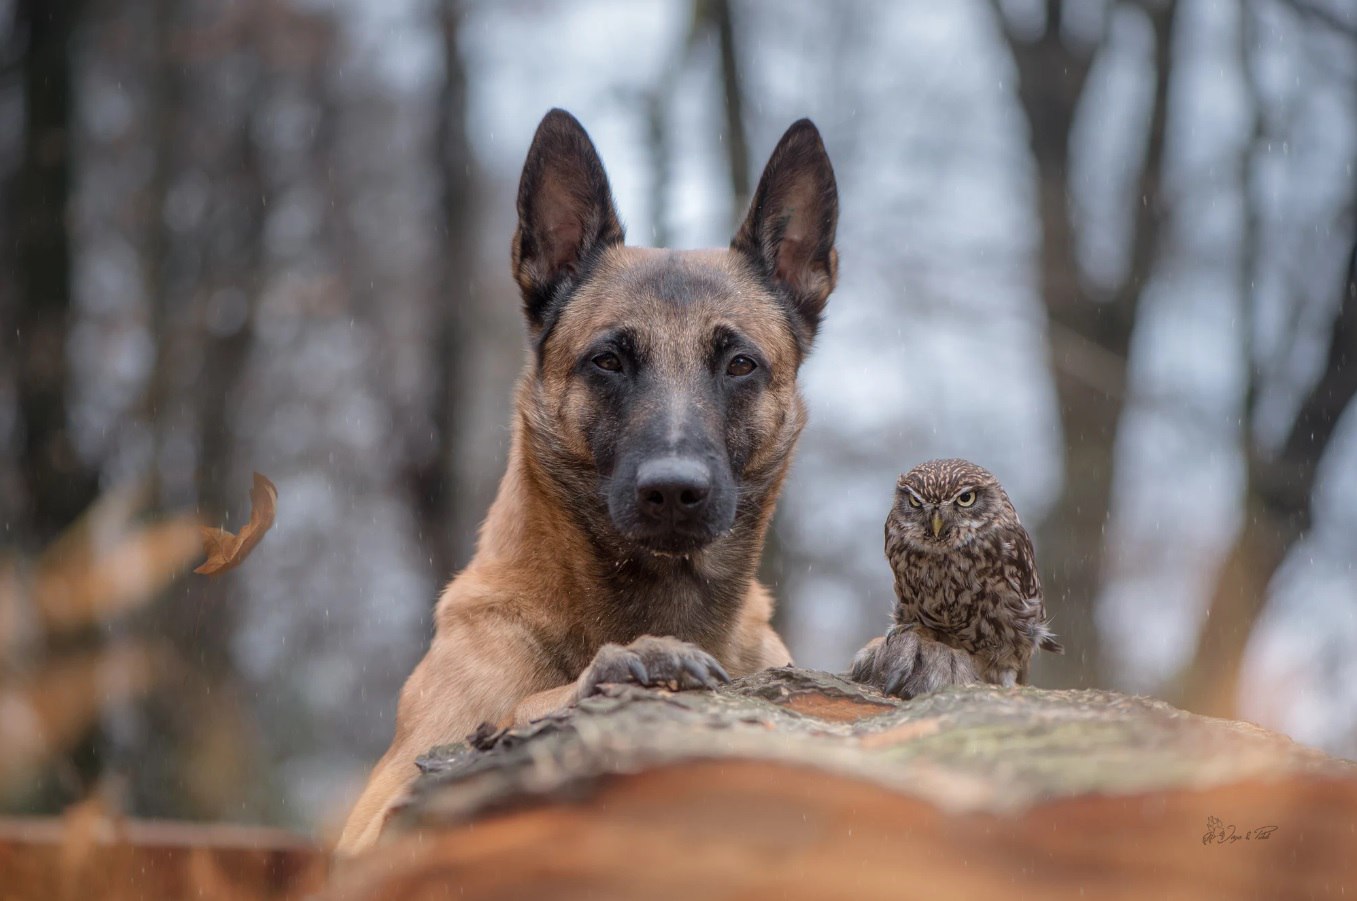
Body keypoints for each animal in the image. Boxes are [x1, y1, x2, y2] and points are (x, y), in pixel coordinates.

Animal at [336, 105, 835, 852]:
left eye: (740, 364)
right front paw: (611, 668)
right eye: (608, 360)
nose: (672, 492)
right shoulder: (371, 821)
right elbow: (516, 708)